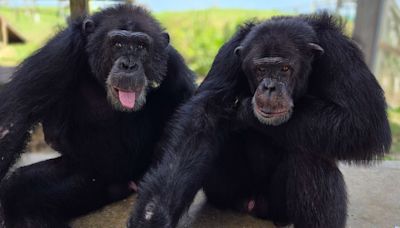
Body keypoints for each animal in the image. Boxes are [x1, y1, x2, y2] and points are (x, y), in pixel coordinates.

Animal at [0, 4, 195, 227]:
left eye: (140, 46)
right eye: (118, 43)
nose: (129, 65)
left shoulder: (175, 67)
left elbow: (187, 132)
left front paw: (153, 212)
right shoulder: (59, 51)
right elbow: (13, 119)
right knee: (19, 190)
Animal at [128, 12, 390, 228]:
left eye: (285, 68)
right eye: (261, 70)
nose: (270, 87)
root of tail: (255, 206)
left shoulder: (341, 54)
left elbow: (363, 121)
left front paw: (244, 111)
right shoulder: (229, 53)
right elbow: (202, 118)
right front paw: (152, 214)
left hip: (279, 208)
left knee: (310, 155)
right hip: (227, 192)